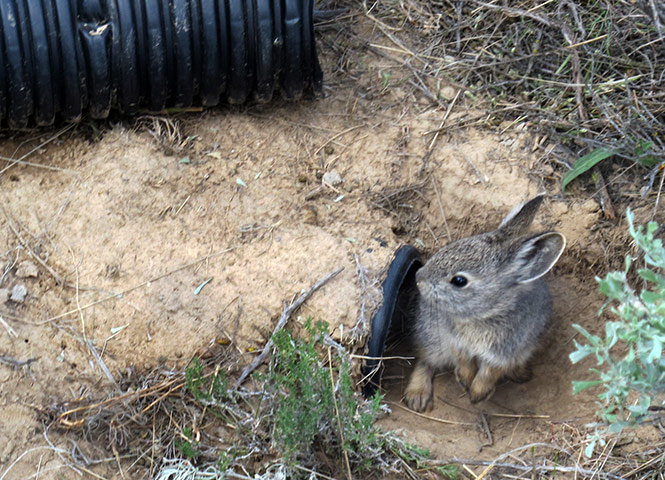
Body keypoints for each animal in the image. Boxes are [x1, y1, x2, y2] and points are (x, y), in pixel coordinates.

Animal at [404, 193, 566, 411]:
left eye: (459, 281)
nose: (418, 277)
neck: (486, 314)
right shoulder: (455, 342)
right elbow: (463, 362)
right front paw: (465, 381)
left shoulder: (505, 352)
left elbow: (490, 372)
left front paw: (477, 393)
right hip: (431, 335)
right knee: (425, 360)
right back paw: (417, 396)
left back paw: (520, 374)